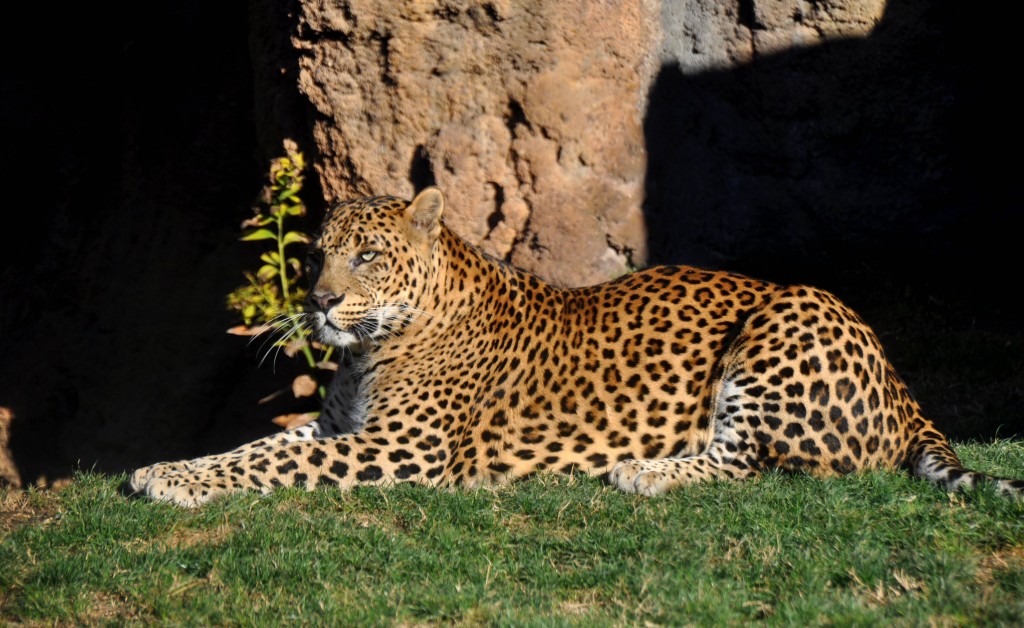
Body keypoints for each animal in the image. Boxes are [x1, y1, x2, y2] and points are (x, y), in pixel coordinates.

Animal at [130, 184, 1024, 504]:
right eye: (316, 255)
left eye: (369, 257)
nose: (318, 301)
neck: (375, 347)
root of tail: (901, 384)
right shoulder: (339, 426)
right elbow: (250, 448)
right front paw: (166, 467)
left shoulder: (401, 451)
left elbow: (269, 465)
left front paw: (166, 480)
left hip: (786, 319)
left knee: (761, 460)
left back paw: (644, 471)